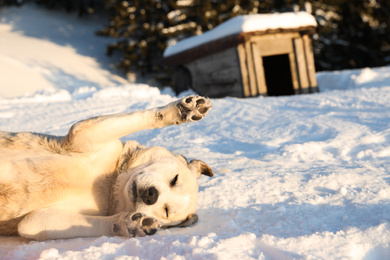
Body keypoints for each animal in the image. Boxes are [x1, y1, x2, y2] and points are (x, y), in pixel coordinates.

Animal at [0, 95, 213, 240]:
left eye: (166, 211)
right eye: (174, 179)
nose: (151, 195)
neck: (110, 185)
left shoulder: (38, 221)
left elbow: (31, 223)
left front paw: (130, 223)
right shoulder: (86, 134)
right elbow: (147, 117)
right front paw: (181, 110)